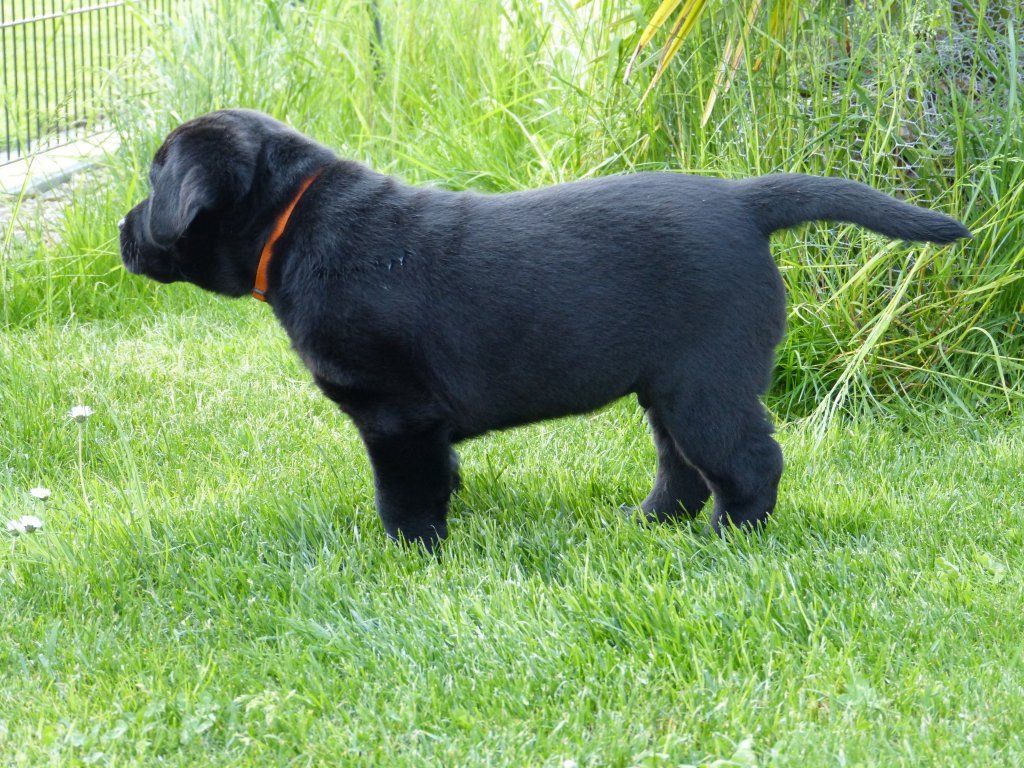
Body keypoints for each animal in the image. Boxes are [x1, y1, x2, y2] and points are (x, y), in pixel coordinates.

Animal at [120, 109, 970, 549]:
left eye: (153, 183)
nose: (122, 232)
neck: (294, 223)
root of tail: (743, 200)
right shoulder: (418, 425)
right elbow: (441, 474)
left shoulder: (395, 415)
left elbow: (404, 492)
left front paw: (408, 551)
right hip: (667, 384)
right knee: (683, 466)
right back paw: (650, 523)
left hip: (707, 382)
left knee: (748, 461)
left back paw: (729, 537)